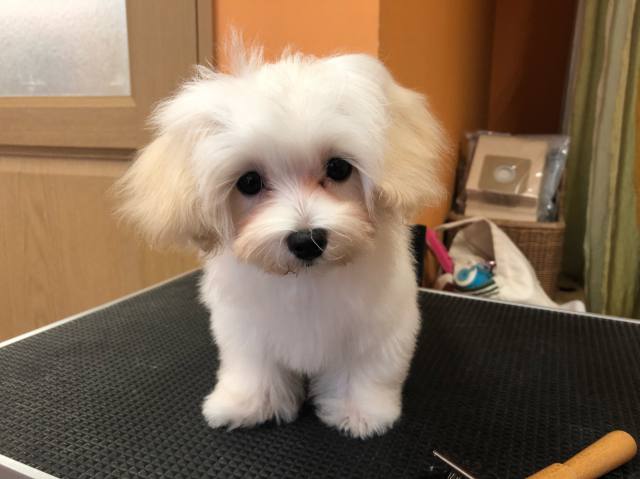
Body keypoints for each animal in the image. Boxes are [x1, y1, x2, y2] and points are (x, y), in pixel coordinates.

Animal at [116, 38, 446, 438]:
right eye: (249, 182)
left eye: (338, 168)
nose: (307, 240)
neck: (306, 279)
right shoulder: (249, 331)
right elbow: (256, 368)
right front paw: (251, 404)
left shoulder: (374, 329)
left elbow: (364, 369)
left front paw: (358, 412)